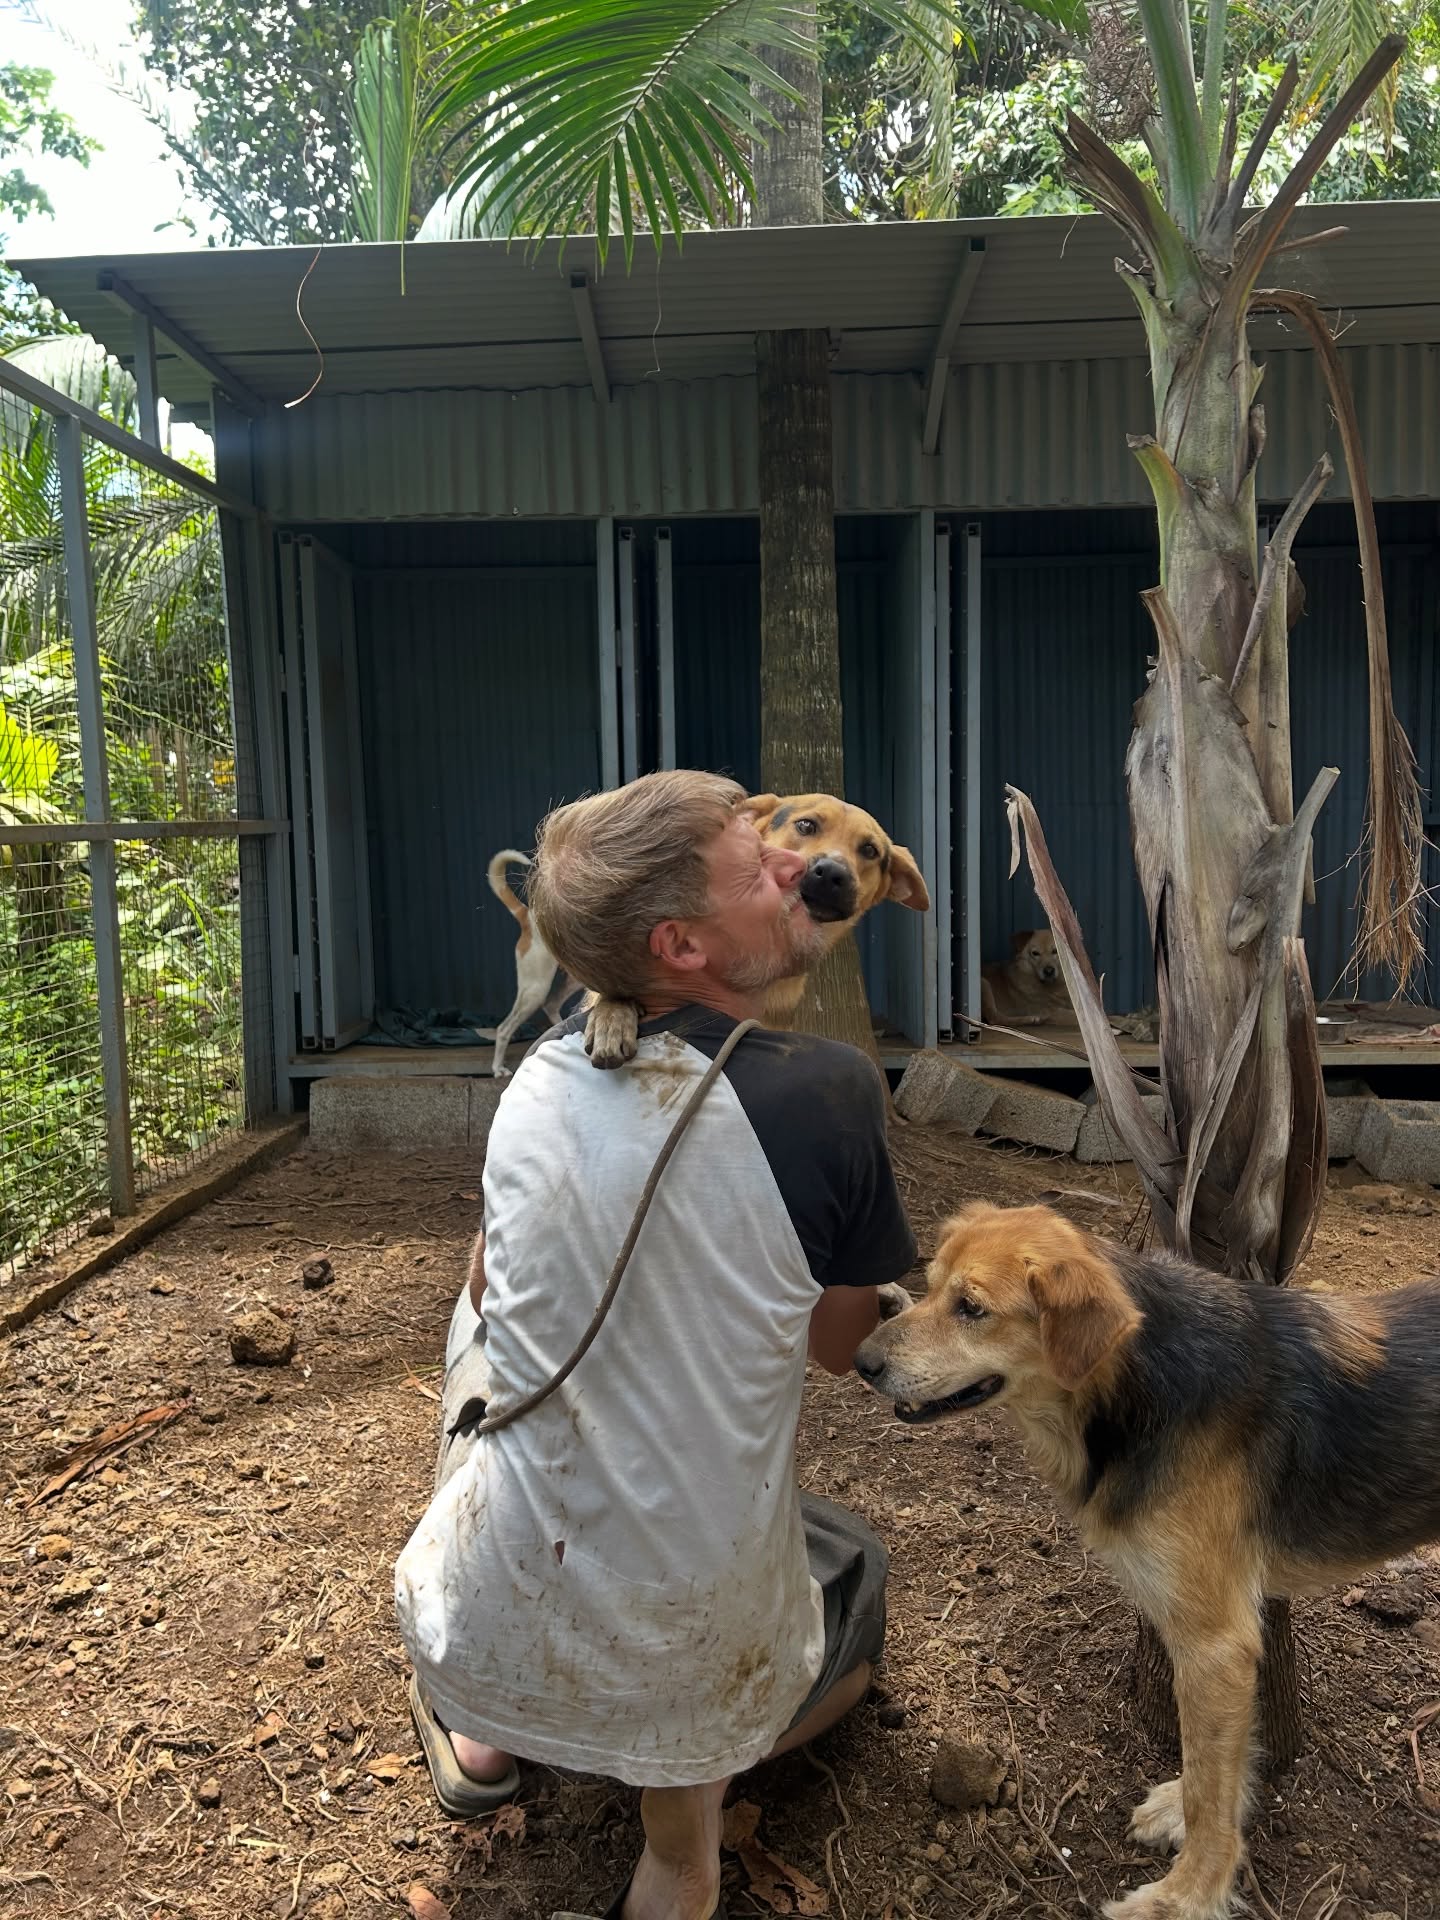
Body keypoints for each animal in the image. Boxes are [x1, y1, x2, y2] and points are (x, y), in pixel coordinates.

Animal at [854, 1201, 1440, 1920]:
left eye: (971, 1308)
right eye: (930, 1286)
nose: (861, 1360)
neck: (1136, 1385)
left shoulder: (1215, 1645)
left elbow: (1212, 1789)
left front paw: (1187, 1896)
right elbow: (1217, 1768)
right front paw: (1182, 1819)